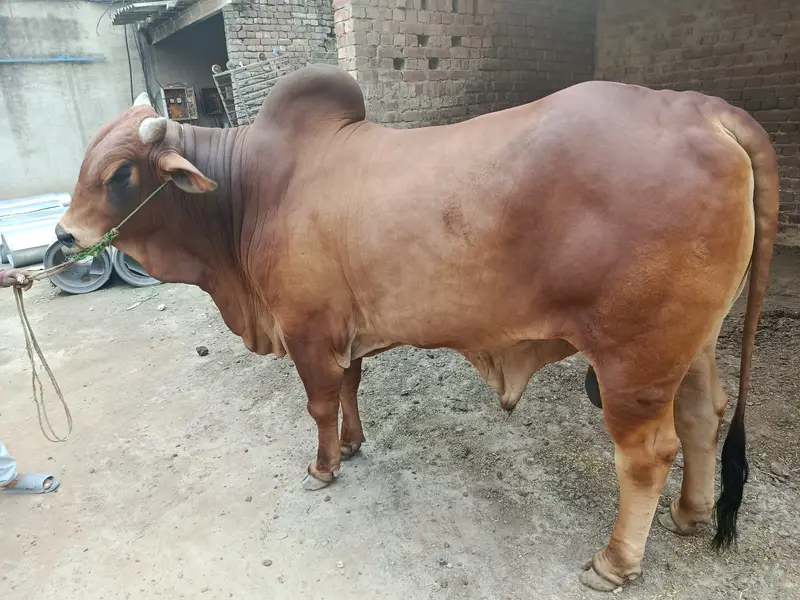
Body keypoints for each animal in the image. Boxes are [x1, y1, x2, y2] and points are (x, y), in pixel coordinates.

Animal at [56, 65, 778, 591]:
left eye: (120, 173)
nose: (62, 238)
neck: (249, 193)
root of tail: (697, 108)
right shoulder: (341, 331)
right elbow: (349, 389)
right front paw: (352, 445)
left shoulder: (307, 331)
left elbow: (318, 404)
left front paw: (323, 467)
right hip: (691, 345)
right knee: (703, 414)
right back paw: (691, 514)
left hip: (633, 358)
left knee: (647, 454)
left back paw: (615, 562)